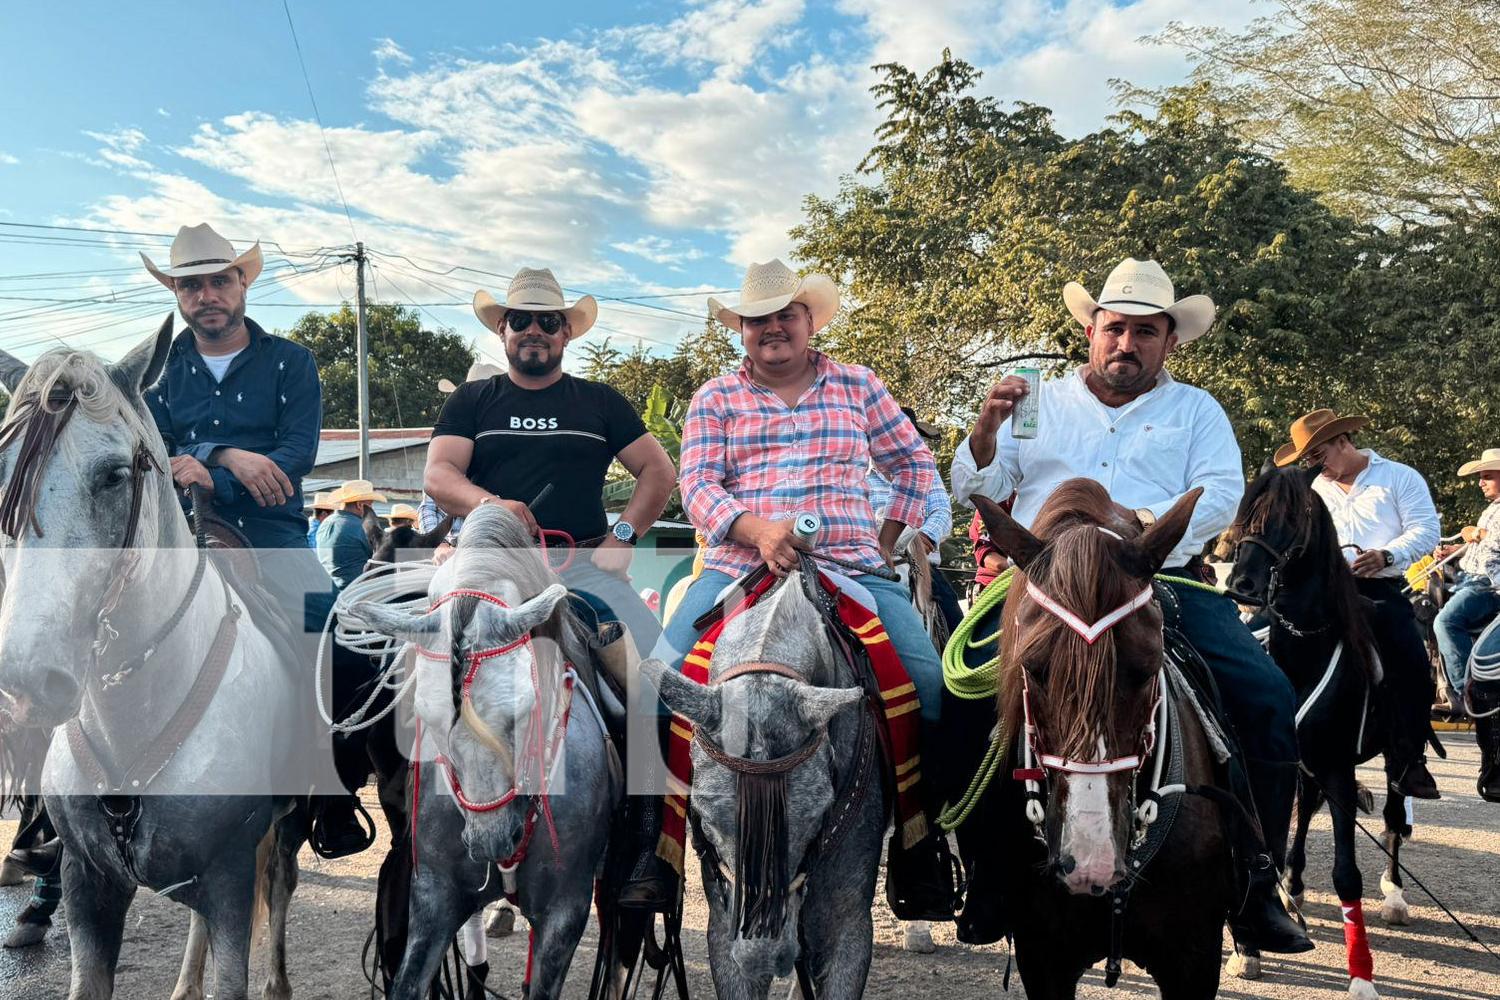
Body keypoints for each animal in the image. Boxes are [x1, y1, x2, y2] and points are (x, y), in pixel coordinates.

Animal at [352, 509, 621, 1000]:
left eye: (526, 709)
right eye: (428, 717)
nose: (490, 840)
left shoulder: (565, 910)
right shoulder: (435, 895)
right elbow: (412, 975)